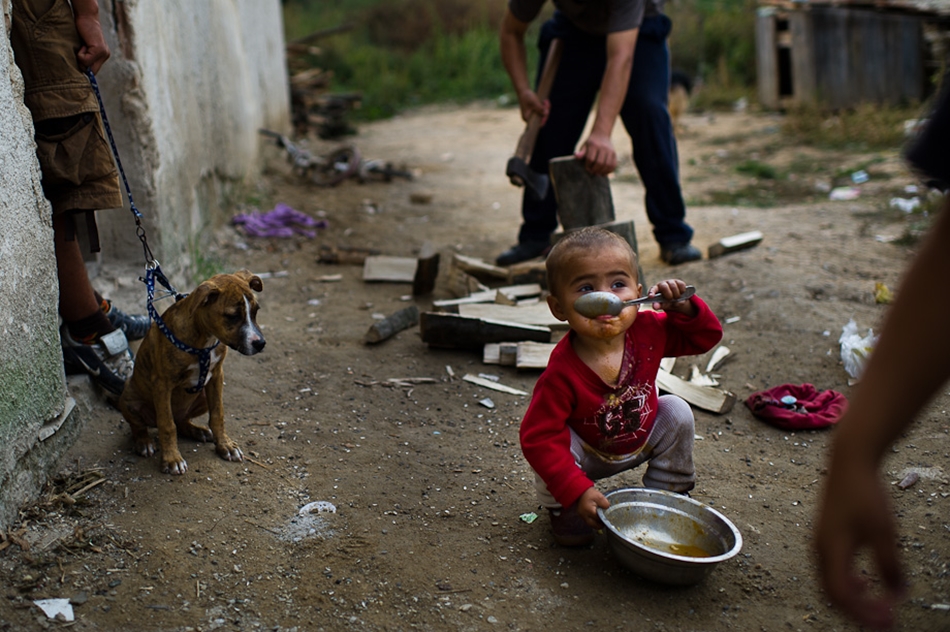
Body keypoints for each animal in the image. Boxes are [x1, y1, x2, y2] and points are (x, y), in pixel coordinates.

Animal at [121, 270, 268, 474]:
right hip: (128, 399)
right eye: (232, 316)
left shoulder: (217, 376)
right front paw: (172, 459)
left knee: (182, 421)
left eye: (255, 311)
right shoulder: (162, 384)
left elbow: (218, 415)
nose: (260, 343)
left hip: (203, 396)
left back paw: (197, 431)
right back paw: (144, 442)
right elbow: (167, 425)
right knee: (141, 426)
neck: (204, 339)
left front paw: (225, 446)